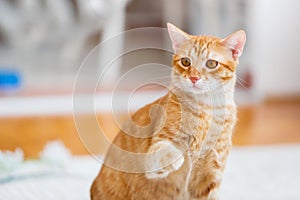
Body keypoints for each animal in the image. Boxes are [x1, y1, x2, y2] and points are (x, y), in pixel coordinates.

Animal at [91, 22, 246, 199]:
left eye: (211, 64)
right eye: (186, 62)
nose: (194, 78)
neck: (206, 110)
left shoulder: (212, 172)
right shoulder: (157, 151)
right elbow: (163, 151)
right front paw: (176, 155)